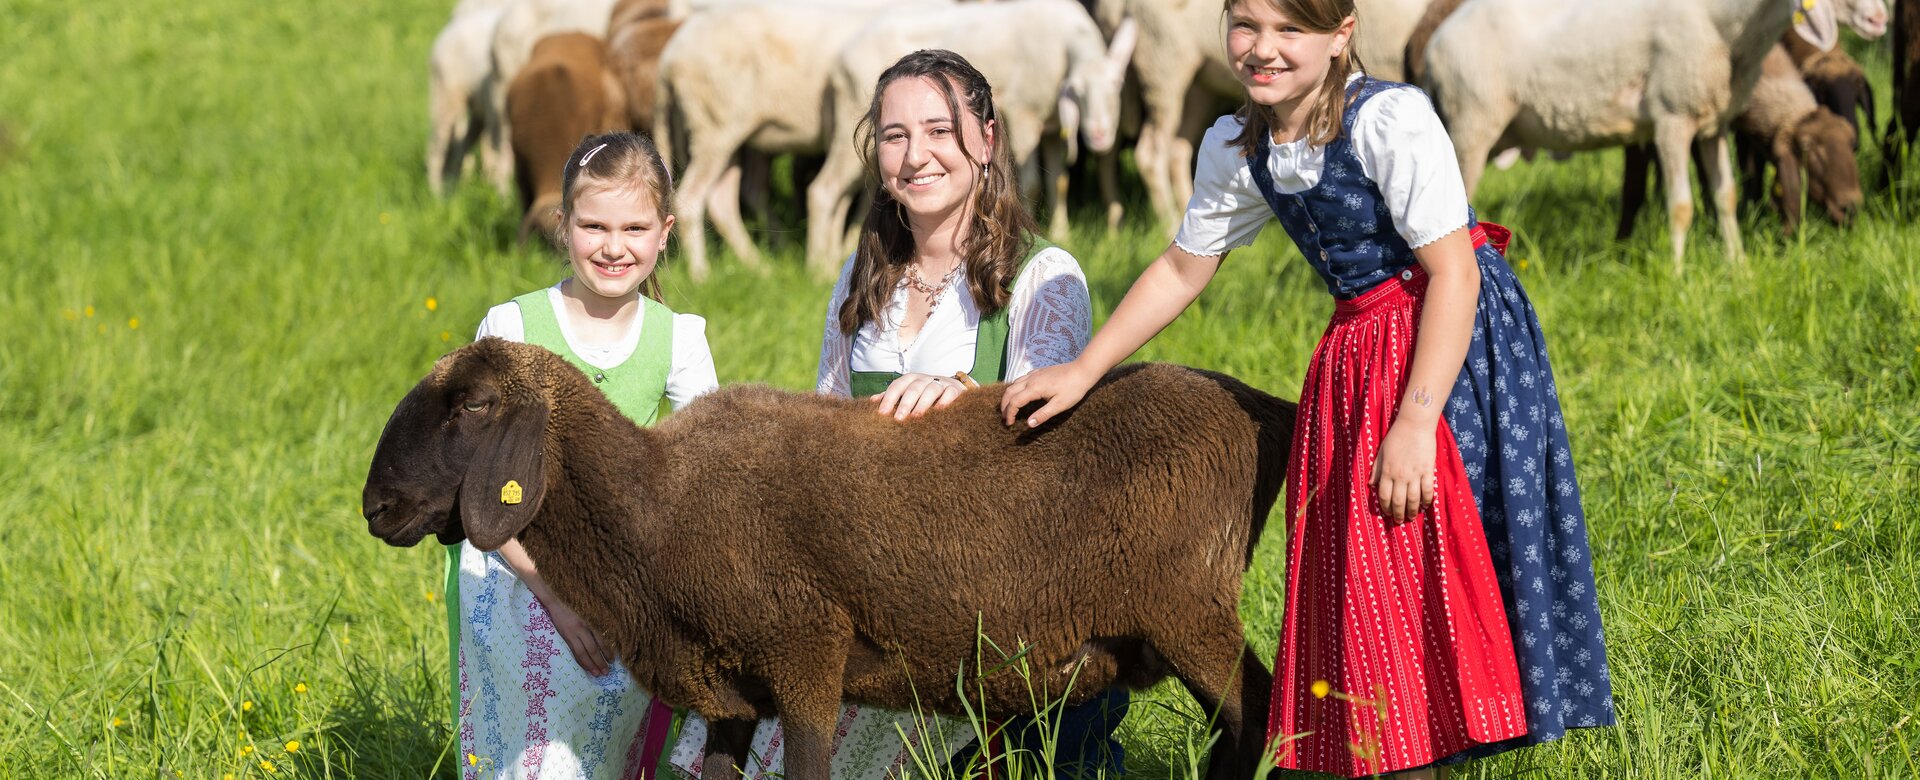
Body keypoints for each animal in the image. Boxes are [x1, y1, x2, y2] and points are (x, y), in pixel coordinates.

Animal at [363, 339, 1292, 780]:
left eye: (473, 406)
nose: (375, 508)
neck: (654, 507)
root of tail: (1259, 405)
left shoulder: (805, 653)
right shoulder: (731, 693)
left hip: (1188, 607)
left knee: (1257, 710)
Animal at [426, 7, 506, 196]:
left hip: (477, 111)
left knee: (462, 146)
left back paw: (457, 185)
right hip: (445, 99)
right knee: (436, 150)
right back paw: (436, 192)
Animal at [802, 0, 1137, 274]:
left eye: (1118, 85)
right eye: (1077, 93)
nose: (1099, 137)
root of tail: (842, 56)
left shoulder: (1052, 128)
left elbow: (1059, 182)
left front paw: (1061, 233)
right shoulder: (1024, 115)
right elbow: (1032, 184)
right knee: (824, 190)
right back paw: (819, 267)